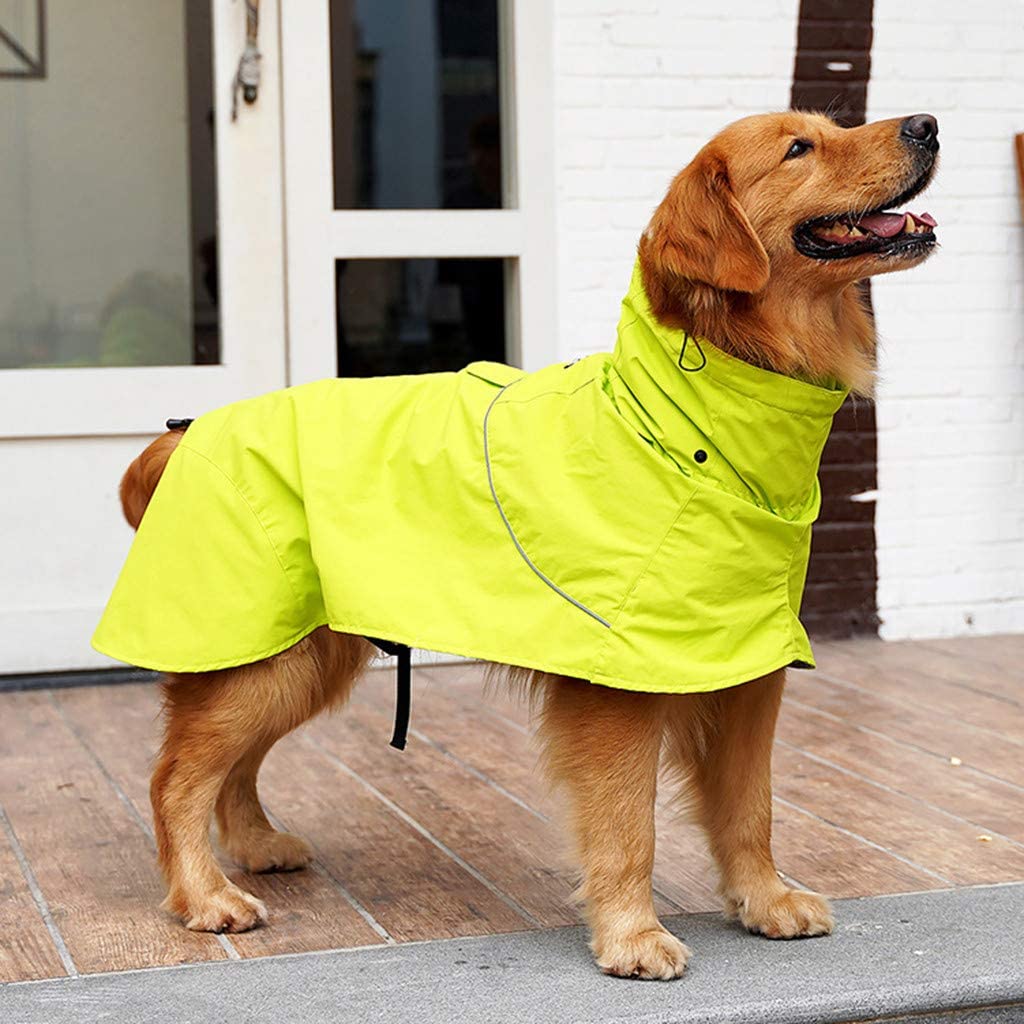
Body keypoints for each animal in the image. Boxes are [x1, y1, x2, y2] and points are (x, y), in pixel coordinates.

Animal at [116, 108, 937, 978]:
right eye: (798, 149)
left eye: (830, 128)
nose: (926, 124)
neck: (688, 421)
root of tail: (190, 432)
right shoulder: (619, 684)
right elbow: (627, 822)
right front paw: (632, 935)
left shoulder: (748, 665)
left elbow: (751, 806)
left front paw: (765, 899)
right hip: (264, 657)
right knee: (176, 777)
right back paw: (206, 897)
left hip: (298, 658)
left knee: (231, 766)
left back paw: (255, 845)